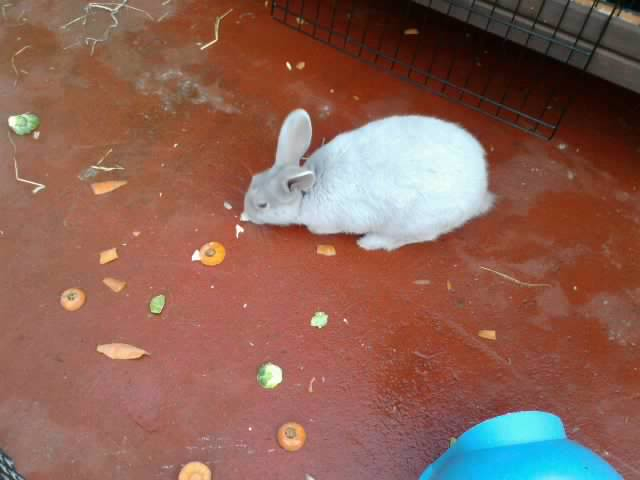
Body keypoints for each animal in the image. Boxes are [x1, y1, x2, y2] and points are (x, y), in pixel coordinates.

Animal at [240, 109, 496, 251]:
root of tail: (481, 190)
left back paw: (370, 243)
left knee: (416, 237)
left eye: (263, 205)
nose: (246, 213)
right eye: (253, 179)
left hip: (415, 223)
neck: (308, 191)